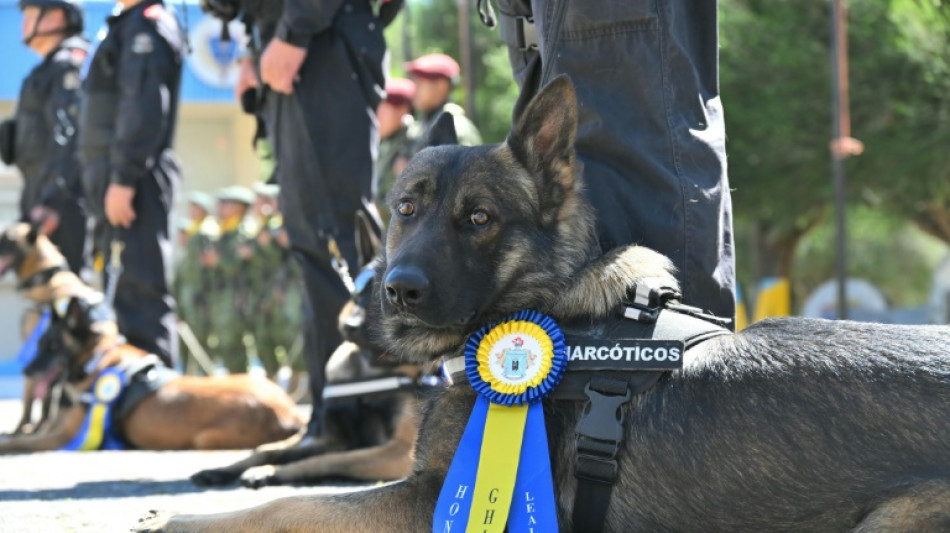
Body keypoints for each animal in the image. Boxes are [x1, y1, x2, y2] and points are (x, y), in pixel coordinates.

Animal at [0, 286, 304, 454]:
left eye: (50, 345)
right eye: (40, 343)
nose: (26, 370)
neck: (98, 358)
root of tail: (290, 414)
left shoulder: (67, 435)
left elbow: (21, 442)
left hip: (204, 439)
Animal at [134, 76, 950, 532]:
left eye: (479, 218)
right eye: (405, 208)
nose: (395, 294)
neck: (545, 304)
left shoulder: (424, 499)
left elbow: (287, 506)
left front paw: (173, 516)